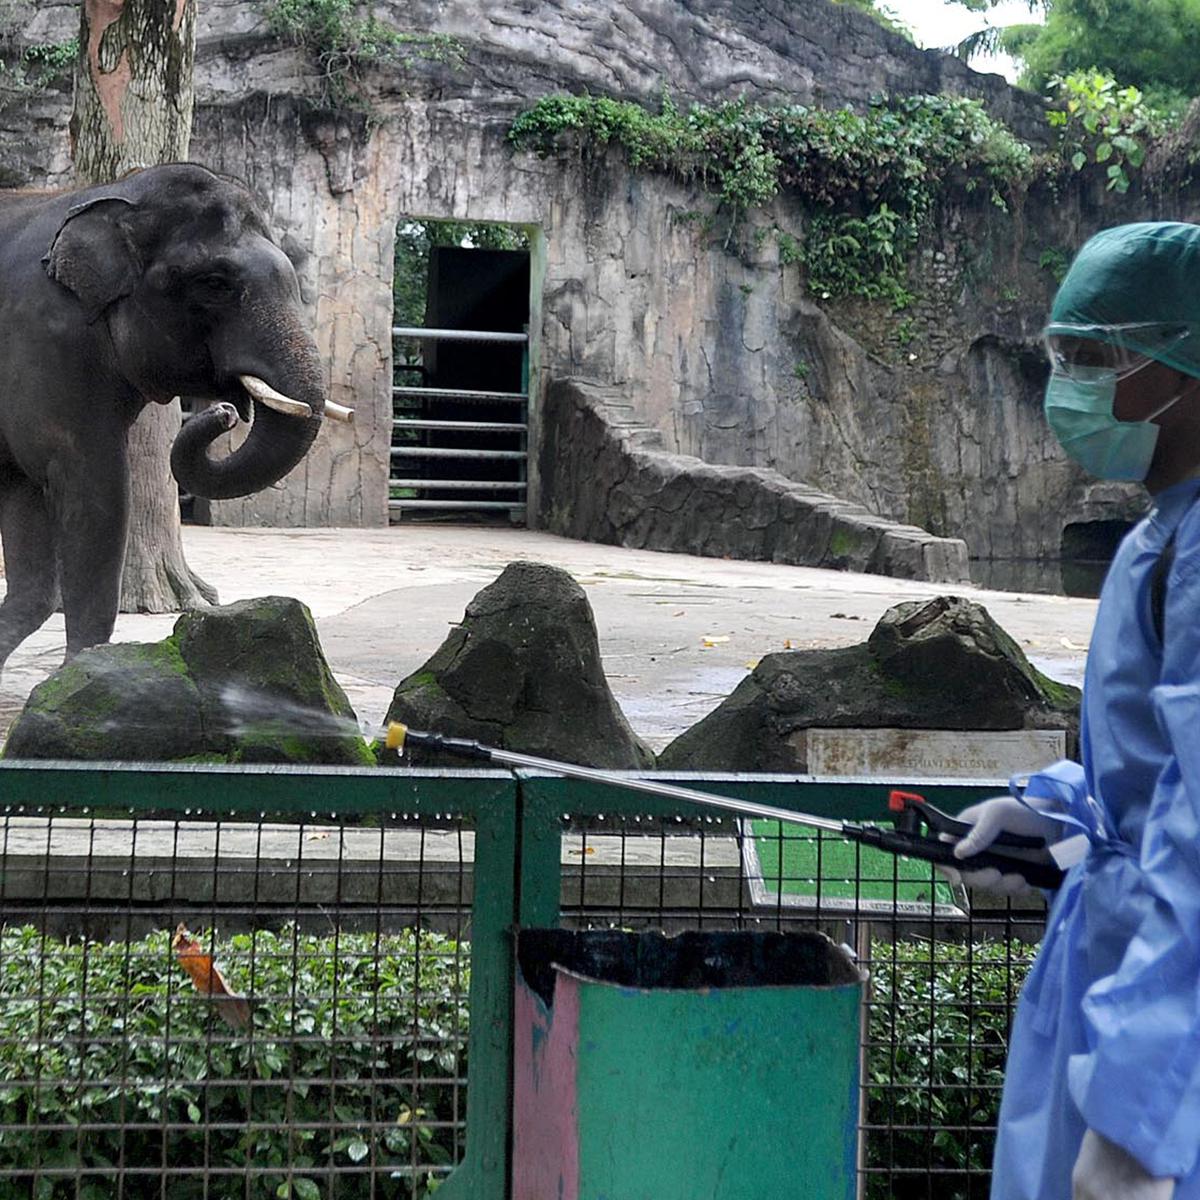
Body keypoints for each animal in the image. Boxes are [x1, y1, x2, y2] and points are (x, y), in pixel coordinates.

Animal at [0, 165, 345, 676]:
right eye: (216, 283)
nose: (225, 412)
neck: (114, 195)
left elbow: (28, 496)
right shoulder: (48, 339)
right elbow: (95, 485)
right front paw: (83, 671)